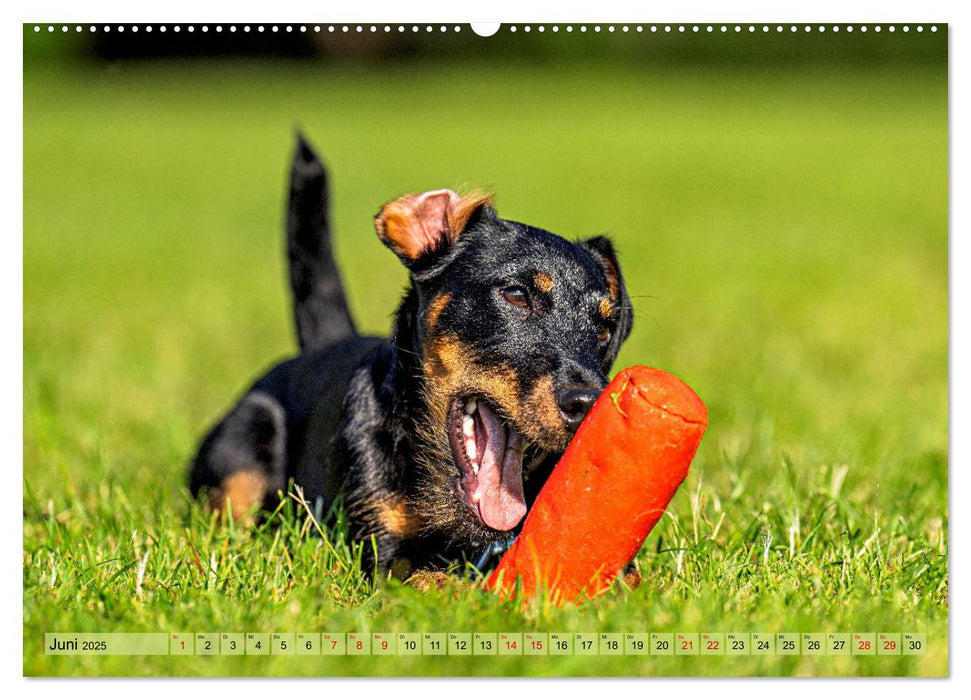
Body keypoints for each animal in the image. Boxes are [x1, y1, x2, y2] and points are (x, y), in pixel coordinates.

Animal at [188, 135, 636, 576]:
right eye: (515, 294)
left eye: (605, 328)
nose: (590, 403)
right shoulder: (384, 545)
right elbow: (429, 577)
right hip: (244, 447)